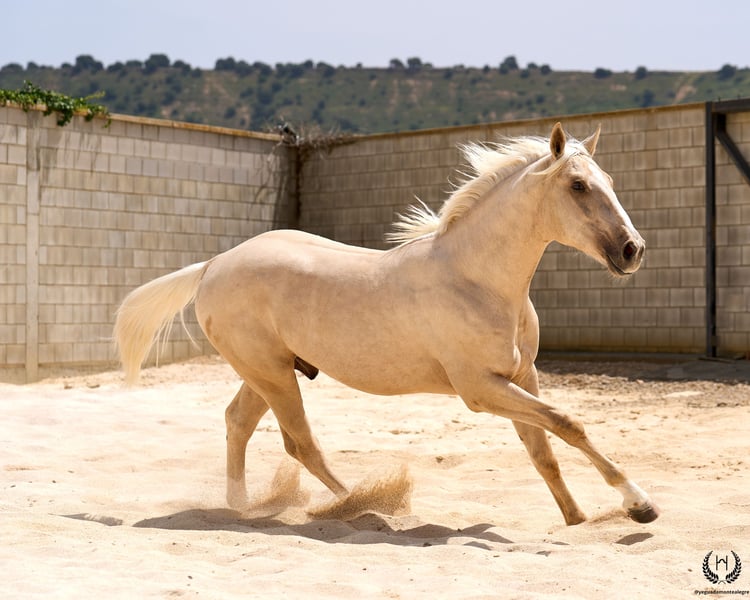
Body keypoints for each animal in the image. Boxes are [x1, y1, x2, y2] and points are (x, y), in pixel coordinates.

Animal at [114, 122, 658, 526]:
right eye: (578, 185)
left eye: (610, 182)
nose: (632, 251)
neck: (476, 280)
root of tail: (213, 265)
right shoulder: (481, 389)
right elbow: (569, 423)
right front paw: (639, 505)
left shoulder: (523, 376)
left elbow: (543, 449)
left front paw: (577, 519)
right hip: (271, 373)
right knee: (300, 443)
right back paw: (362, 504)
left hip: (267, 372)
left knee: (238, 423)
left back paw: (243, 508)